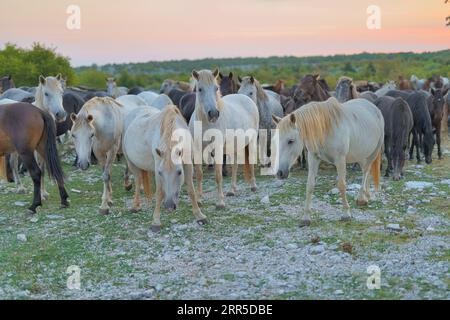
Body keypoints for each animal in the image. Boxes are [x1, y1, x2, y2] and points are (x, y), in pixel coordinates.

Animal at [188, 69, 258, 209]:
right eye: (199, 89)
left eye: (216, 88)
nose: (214, 114)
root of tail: (247, 98)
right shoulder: (198, 150)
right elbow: (199, 174)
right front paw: (199, 199)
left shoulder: (218, 149)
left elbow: (218, 175)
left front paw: (220, 202)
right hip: (235, 145)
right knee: (235, 165)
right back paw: (232, 190)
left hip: (252, 141)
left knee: (251, 161)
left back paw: (253, 186)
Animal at [274, 97, 384, 225]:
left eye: (290, 141)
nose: (280, 173)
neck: (325, 128)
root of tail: (373, 106)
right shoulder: (313, 157)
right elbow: (310, 185)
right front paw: (306, 217)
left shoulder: (340, 159)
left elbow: (341, 185)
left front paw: (346, 214)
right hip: (361, 154)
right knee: (366, 171)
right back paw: (366, 195)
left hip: (373, 153)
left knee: (366, 171)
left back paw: (362, 198)